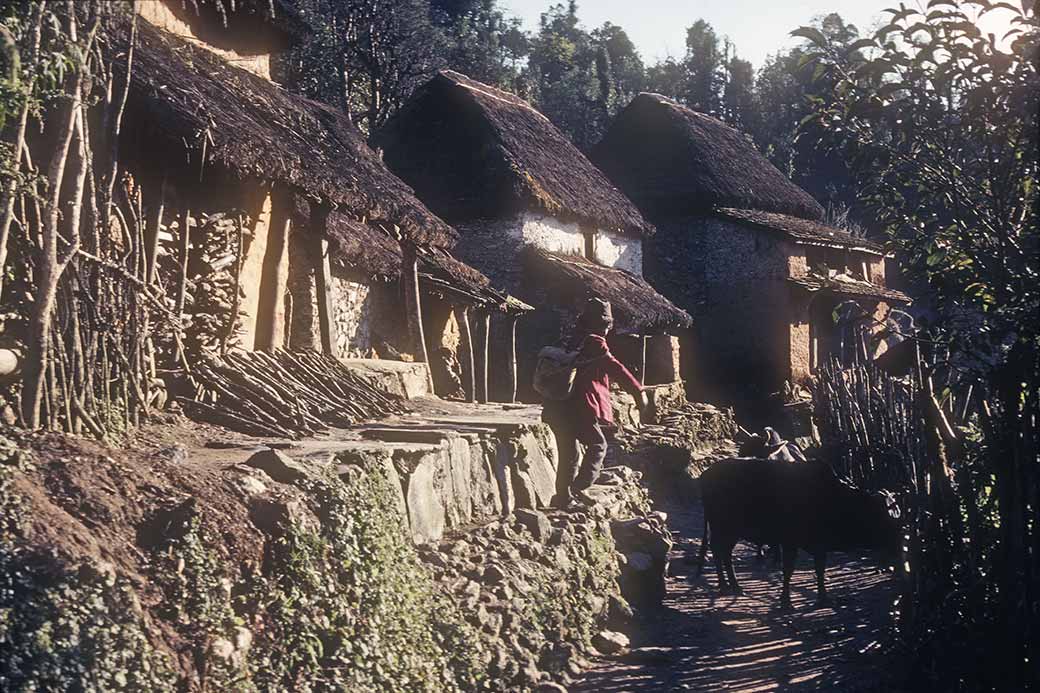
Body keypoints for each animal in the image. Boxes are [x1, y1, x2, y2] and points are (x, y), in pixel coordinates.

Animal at [690, 457, 902, 603]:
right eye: (883, 519)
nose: (897, 544)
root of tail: (706, 474)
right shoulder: (790, 542)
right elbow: (788, 570)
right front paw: (786, 601)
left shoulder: (819, 545)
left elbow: (819, 570)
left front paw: (823, 598)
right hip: (724, 528)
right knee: (719, 551)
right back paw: (726, 585)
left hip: (728, 531)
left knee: (722, 552)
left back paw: (731, 585)